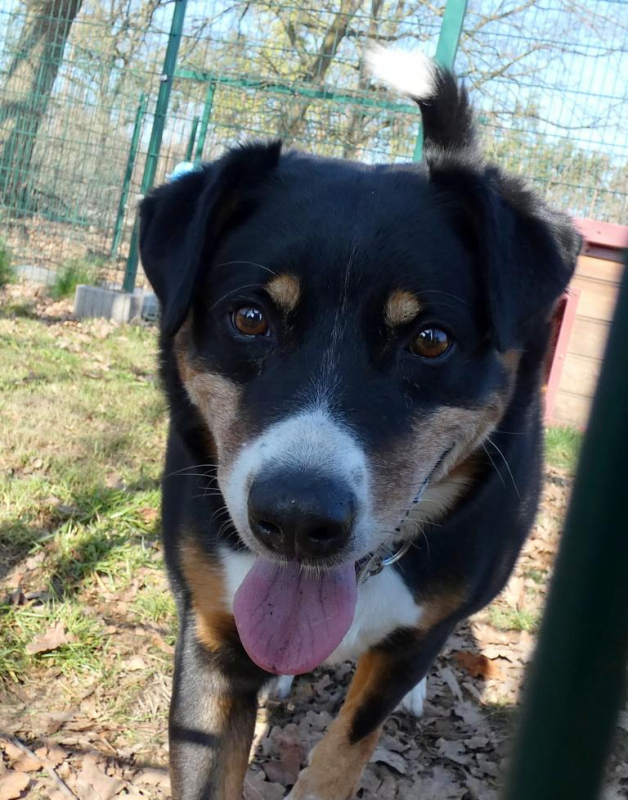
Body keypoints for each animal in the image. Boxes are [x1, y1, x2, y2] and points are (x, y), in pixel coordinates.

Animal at [138, 48, 580, 800]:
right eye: (249, 318)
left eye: (430, 339)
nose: (294, 518)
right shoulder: (209, 637)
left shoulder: (414, 637)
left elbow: (345, 748)